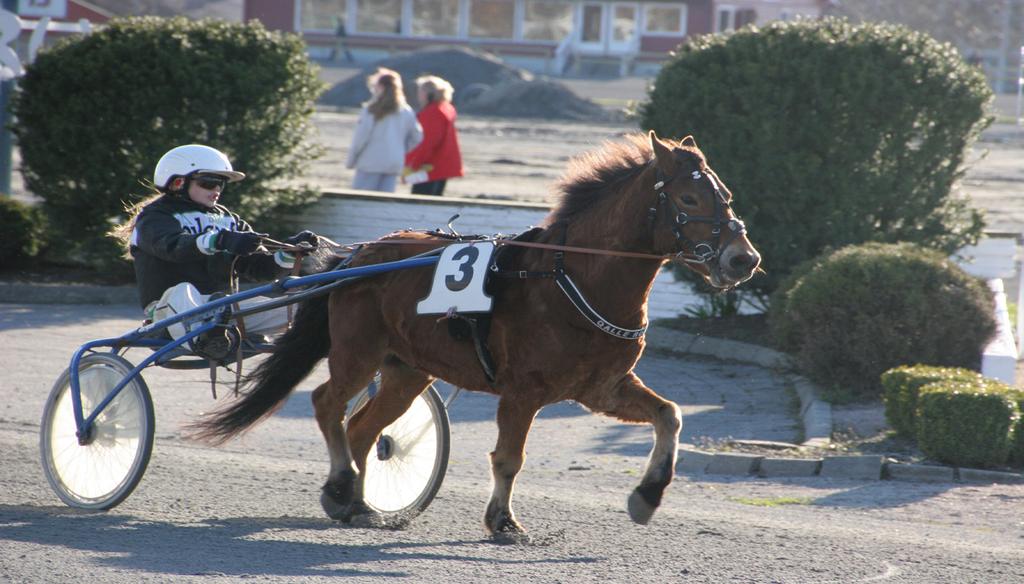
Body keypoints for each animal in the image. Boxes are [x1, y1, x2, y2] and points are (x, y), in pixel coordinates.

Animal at [192, 130, 757, 536]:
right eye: (690, 197)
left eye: (727, 195)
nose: (743, 258)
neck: (571, 277)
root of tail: (357, 256)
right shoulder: (523, 391)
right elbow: (509, 458)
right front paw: (503, 522)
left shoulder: (602, 387)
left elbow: (670, 416)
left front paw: (646, 497)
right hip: (358, 349)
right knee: (328, 403)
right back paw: (341, 484)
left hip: (407, 369)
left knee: (363, 427)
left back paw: (357, 502)